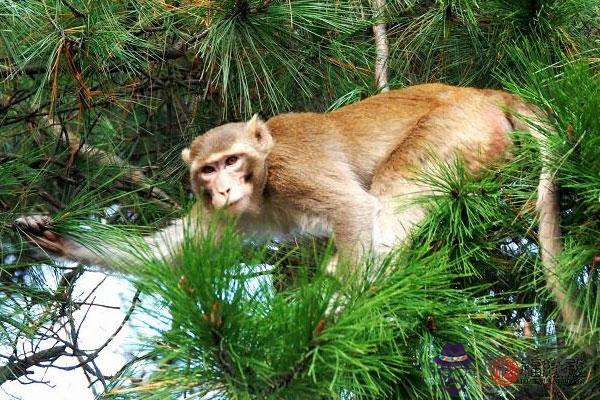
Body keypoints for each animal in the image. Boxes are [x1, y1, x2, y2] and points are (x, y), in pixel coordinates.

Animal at [14, 83, 560, 284]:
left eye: (232, 161)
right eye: (208, 170)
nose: (224, 190)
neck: (262, 187)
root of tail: (484, 93)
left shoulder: (294, 171)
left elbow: (356, 210)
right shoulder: (219, 216)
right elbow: (163, 256)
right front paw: (49, 235)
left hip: (456, 130)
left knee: (393, 191)